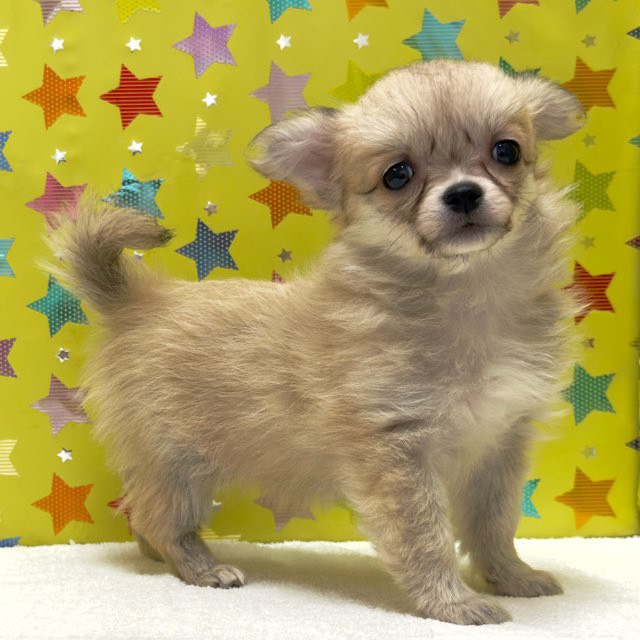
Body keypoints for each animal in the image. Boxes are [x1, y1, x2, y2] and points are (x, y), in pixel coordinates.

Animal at [51, 59, 584, 625]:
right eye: (398, 175)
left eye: (507, 151)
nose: (463, 192)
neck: (466, 292)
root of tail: (137, 301)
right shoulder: (395, 450)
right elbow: (426, 535)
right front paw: (452, 602)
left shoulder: (500, 443)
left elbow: (494, 523)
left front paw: (511, 576)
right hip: (177, 464)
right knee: (157, 517)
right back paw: (201, 566)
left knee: (141, 515)